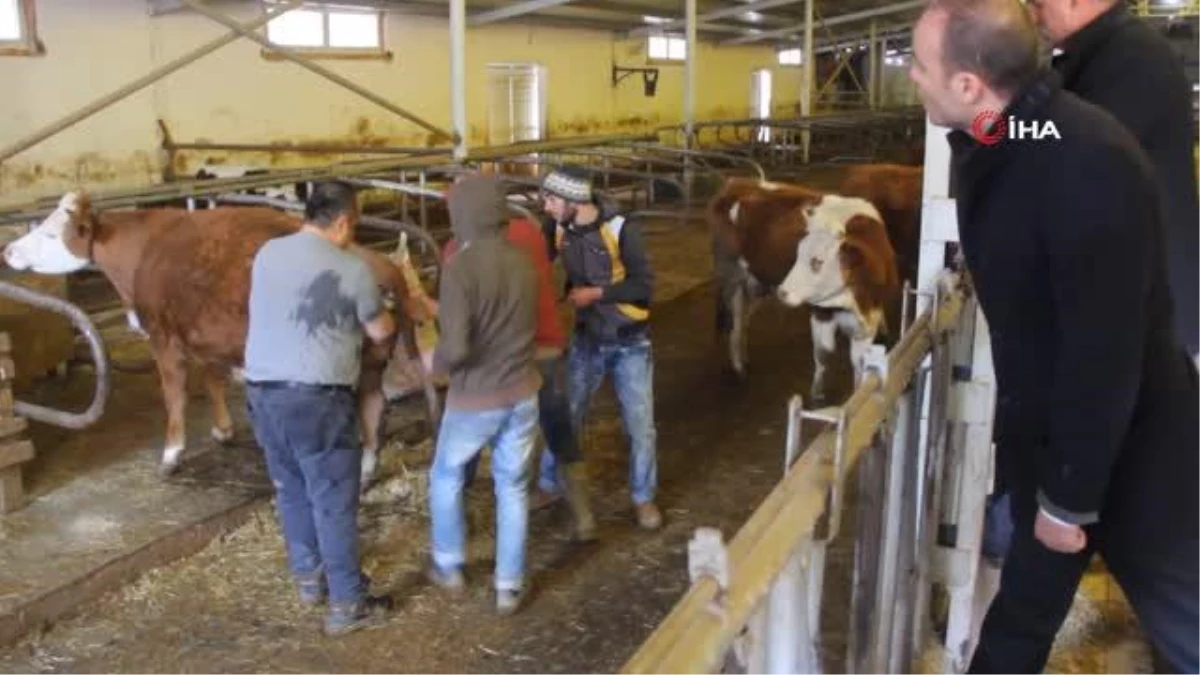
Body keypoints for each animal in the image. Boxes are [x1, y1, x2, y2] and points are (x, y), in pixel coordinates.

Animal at [3, 192, 436, 480]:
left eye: (51, 234)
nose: (8, 250)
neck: (142, 253)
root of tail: (377, 261)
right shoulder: (205, 332)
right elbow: (211, 379)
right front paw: (223, 430)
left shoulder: (162, 334)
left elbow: (174, 393)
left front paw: (171, 453)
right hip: (372, 362)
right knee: (374, 405)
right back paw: (365, 470)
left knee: (366, 408)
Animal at [705, 176, 897, 401]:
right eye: (797, 255)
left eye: (817, 262)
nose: (782, 291)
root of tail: (737, 181)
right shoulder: (821, 312)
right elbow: (823, 354)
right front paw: (816, 394)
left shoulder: (868, 322)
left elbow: (859, 364)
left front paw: (856, 394)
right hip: (731, 277)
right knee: (734, 325)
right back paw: (738, 368)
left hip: (756, 284)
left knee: (743, 320)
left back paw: (743, 358)